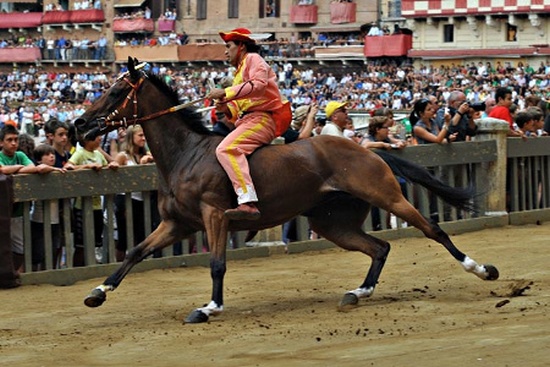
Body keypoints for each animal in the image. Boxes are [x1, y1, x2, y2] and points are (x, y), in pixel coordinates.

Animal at [74, 57, 500, 324]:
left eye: (115, 92)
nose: (80, 123)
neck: (186, 154)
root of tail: (364, 147)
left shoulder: (214, 216)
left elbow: (217, 264)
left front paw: (210, 307)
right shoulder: (177, 224)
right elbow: (135, 251)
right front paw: (98, 291)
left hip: (386, 195)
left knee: (433, 230)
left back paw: (482, 269)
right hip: (332, 222)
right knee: (379, 248)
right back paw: (357, 292)